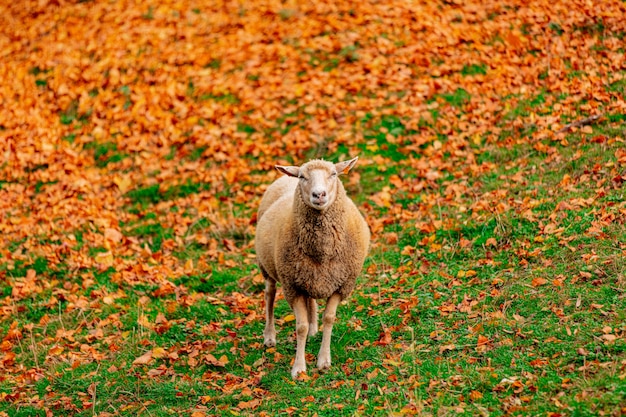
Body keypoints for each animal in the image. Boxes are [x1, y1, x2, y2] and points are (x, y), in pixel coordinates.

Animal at [255, 156, 368, 376]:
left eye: (334, 174)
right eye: (302, 177)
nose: (319, 194)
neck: (322, 253)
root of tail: (286, 176)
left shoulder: (340, 285)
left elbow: (329, 318)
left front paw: (323, 360)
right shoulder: (292, 287)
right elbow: (300, 326)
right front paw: (298, 368)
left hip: (308, 276)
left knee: (311, 301)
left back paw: (314, 329)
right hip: (268, 267)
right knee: (269, 295)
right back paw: (269, 336)